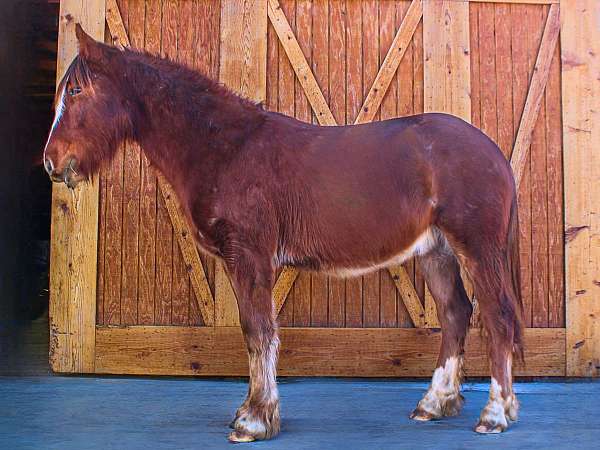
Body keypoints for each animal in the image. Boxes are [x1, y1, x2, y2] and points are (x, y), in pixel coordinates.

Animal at [43, 26, 520, 442]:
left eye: (77, 91)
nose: (51, 161)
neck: (227, 149)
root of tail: (493, 152)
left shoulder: (250, 255)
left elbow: (258, 331)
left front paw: (254, 420)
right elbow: (255, 333)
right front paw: (252, 412)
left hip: (477, 249)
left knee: (496, 318)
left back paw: (494, 414)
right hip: (436, 252)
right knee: (456, 313)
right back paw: (433, 404)